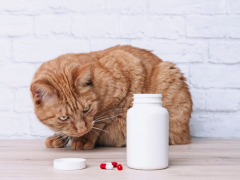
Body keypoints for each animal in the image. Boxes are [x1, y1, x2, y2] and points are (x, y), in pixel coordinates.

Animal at [30, 45, 191, 149]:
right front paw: (59, 137)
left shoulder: (126, 68)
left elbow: (100, 119)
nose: (82, 130)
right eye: (63, 117)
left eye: (86, 109)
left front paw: (84, 138)